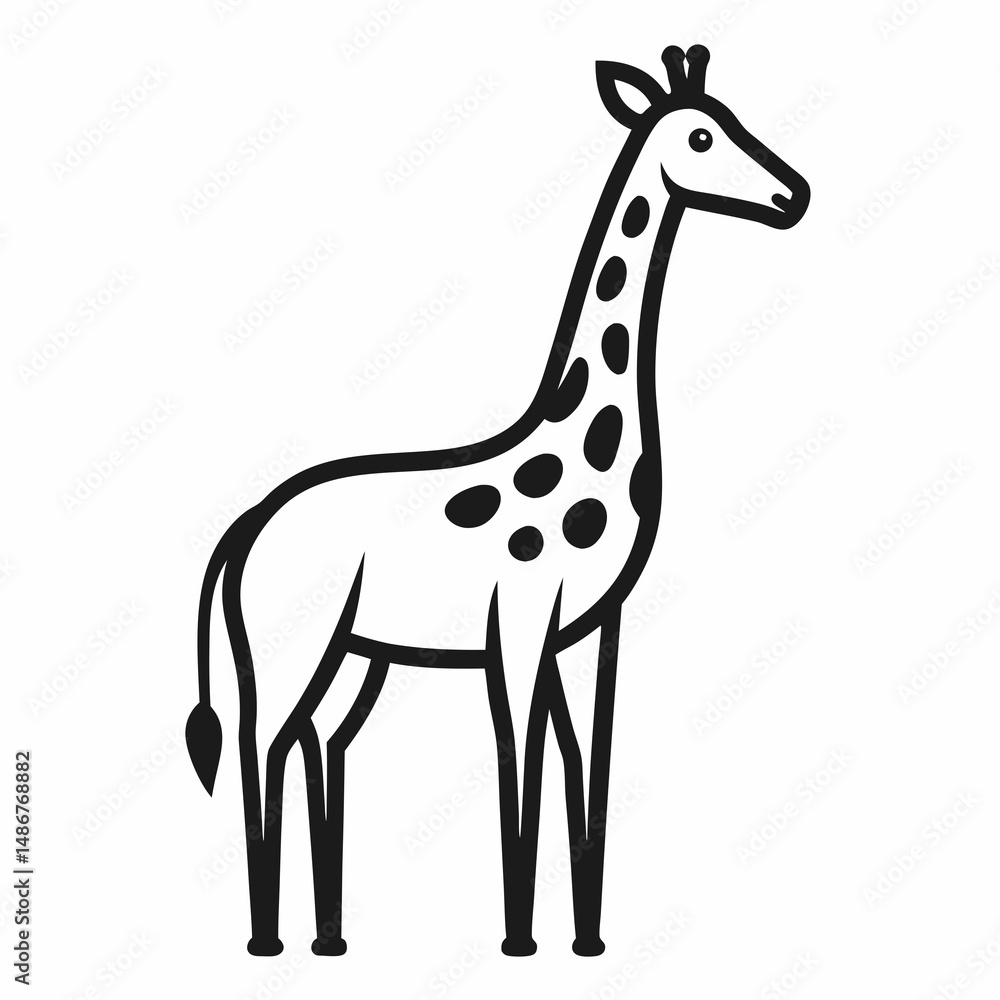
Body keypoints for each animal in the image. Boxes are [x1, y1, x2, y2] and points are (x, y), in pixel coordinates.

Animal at [186, 44, 810, 958]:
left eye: (732, 120)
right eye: (702, 134)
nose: (792, 196)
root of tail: (248, 525)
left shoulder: (590, 630)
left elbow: (586, 768)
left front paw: (586, 941)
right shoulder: (515, 625)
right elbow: (520, 759)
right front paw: (519, 941)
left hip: (356, 656)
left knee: (320, 740)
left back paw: (329, 939)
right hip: (285, 646)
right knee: (262, 744)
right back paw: (267, 940)